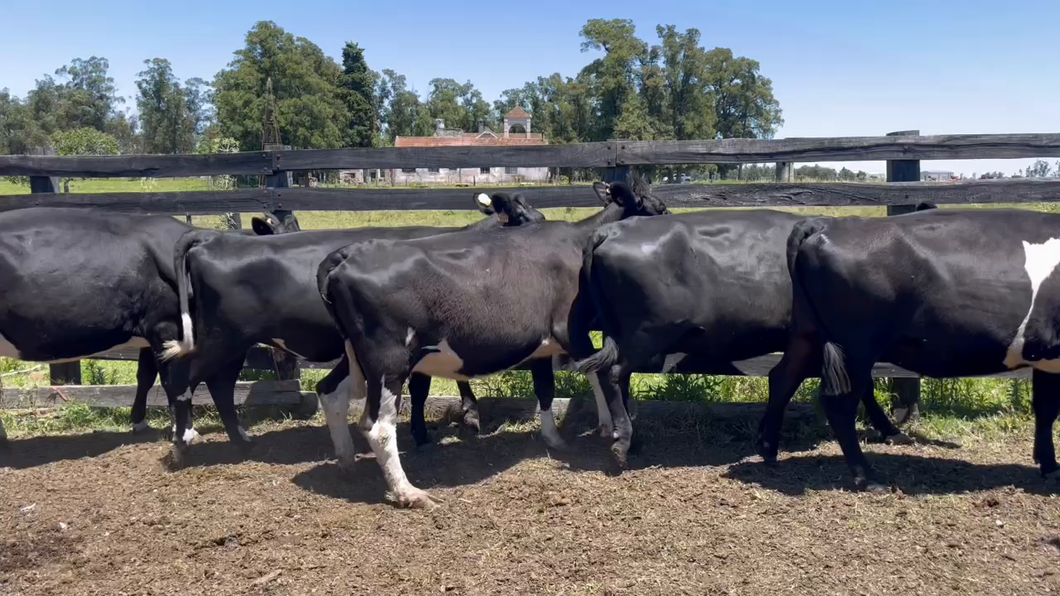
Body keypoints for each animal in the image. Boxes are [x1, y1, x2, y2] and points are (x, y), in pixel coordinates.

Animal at [0, 206, 296, 443]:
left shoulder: (149, 333)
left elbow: (145, 376)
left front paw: (140, 421)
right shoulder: (166, 325)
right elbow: (171, 378)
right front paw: (186, 430)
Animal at [156, 189, 546, 453]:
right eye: (522, 218)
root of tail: (211, 238)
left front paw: (465, 416)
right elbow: (423, 390)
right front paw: (436, 430)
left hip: (233, 343)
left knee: (219, 387)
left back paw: (241, 440)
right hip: (220, 338)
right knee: (182, 380)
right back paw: (183, 443)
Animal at [309, 178, 669, 509]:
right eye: (661, 208)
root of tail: (347, 253)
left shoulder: (543, 344)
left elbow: (547, 389)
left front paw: (554, 437)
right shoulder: (571, 331)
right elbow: (597, 375)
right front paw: (612, 429)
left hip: (356, 354)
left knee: (329, 391)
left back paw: (346, 463)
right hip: (389, 359)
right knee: (378, 426)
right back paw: (408, 492)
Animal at [771, 206, 1060, 489]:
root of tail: (826, 223)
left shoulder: (1045, 358)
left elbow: (1045, 410)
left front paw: (1049, 466)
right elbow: (1049, 410)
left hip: (808, 332)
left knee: (782, 377)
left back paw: (767, 450)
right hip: (855, 346)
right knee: (839, 404)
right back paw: (867, 478)